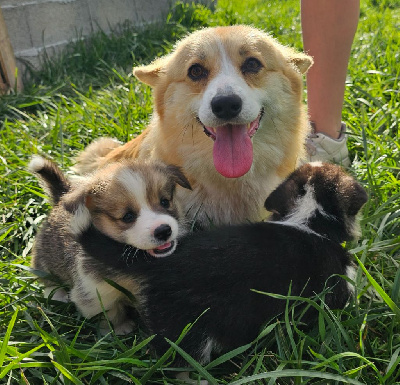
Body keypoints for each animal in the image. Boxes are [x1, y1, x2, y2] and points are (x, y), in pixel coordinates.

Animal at [28, 156, 191, 332]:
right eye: (127, 216)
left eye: (165, 202)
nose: (163, 231)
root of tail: (61, 197)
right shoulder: (94, 292)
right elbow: (110, 315)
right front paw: (120, 329)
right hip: (45, 255)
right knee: (46, 276)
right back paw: (57, 295)